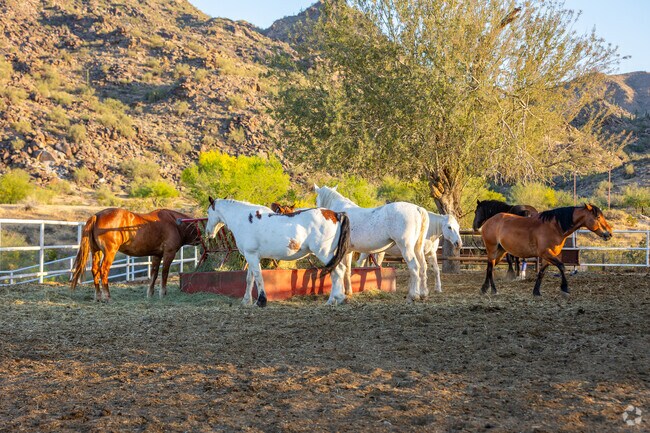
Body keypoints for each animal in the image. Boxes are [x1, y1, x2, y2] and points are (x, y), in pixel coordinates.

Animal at [70, 208, 201, 301]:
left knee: (95, 270)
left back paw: (98, 296)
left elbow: (154, 274)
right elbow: (164, 274)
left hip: (96, 252)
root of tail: (96, 216)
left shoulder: (157, 255)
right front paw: (162, 294)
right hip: (109, 253)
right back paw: (107, 296)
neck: (175, 223)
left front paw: (150, 294)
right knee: (103, 271)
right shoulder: (169, 253)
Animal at [205, 197, 351, 306]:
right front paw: (246, 301)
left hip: (324, 253)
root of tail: (336, 214)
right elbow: (249, 279)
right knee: (338, 271)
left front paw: (261, 301)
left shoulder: (251, 255)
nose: (208, 233)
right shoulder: (252, 256)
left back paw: (335, 299)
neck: (244, 219)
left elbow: (258, 277)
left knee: (337, 271)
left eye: (208, 212)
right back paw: (335, 299)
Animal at [480, 204, 612, 296]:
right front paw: (565, 288)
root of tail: (489, 221)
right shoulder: (546, 253)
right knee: (490, 268)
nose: (609, 234)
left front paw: (536, 292)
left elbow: (542, 273)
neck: (554, 227)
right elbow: (562, 266)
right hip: (492, 249)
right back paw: (494, 290)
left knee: (490, 267)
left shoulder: (548, 257)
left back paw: (484, 289)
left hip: (500, 252)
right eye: (598, 217)